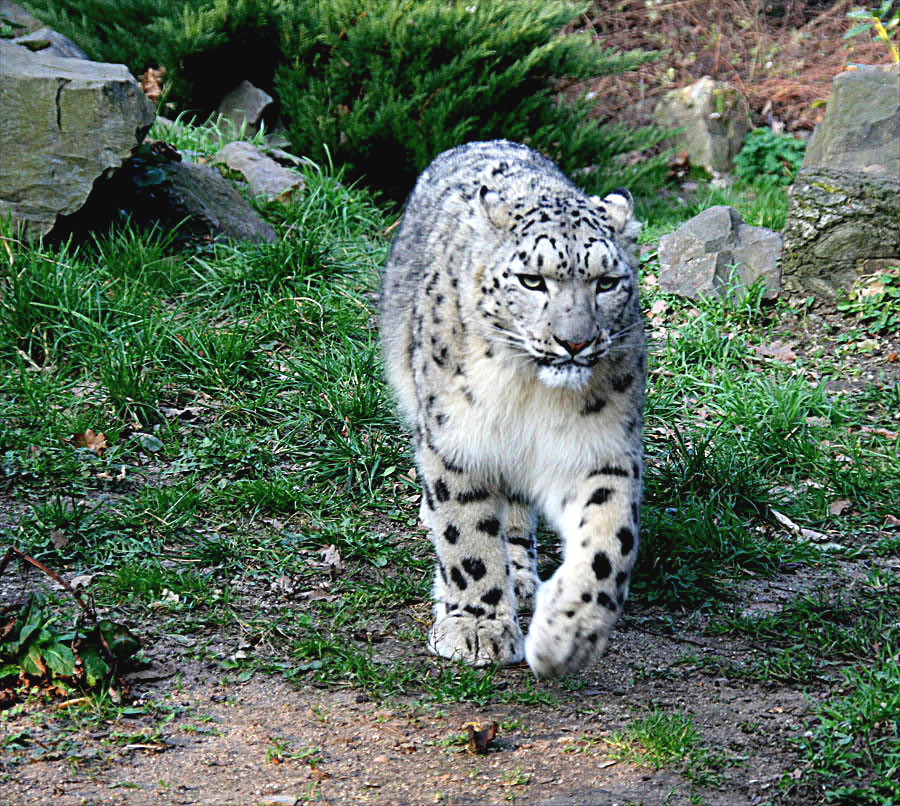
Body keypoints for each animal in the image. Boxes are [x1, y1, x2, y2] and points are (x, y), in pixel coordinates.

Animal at [382, 140, 648, 680]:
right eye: (531, 280)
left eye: (607, 282)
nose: (575, 342)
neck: (530, 394)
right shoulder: (459, 440)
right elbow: (466, 536)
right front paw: (476, 628)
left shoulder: (601, 448)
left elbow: (609, 538)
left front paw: (568, 634)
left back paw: (523, 577)